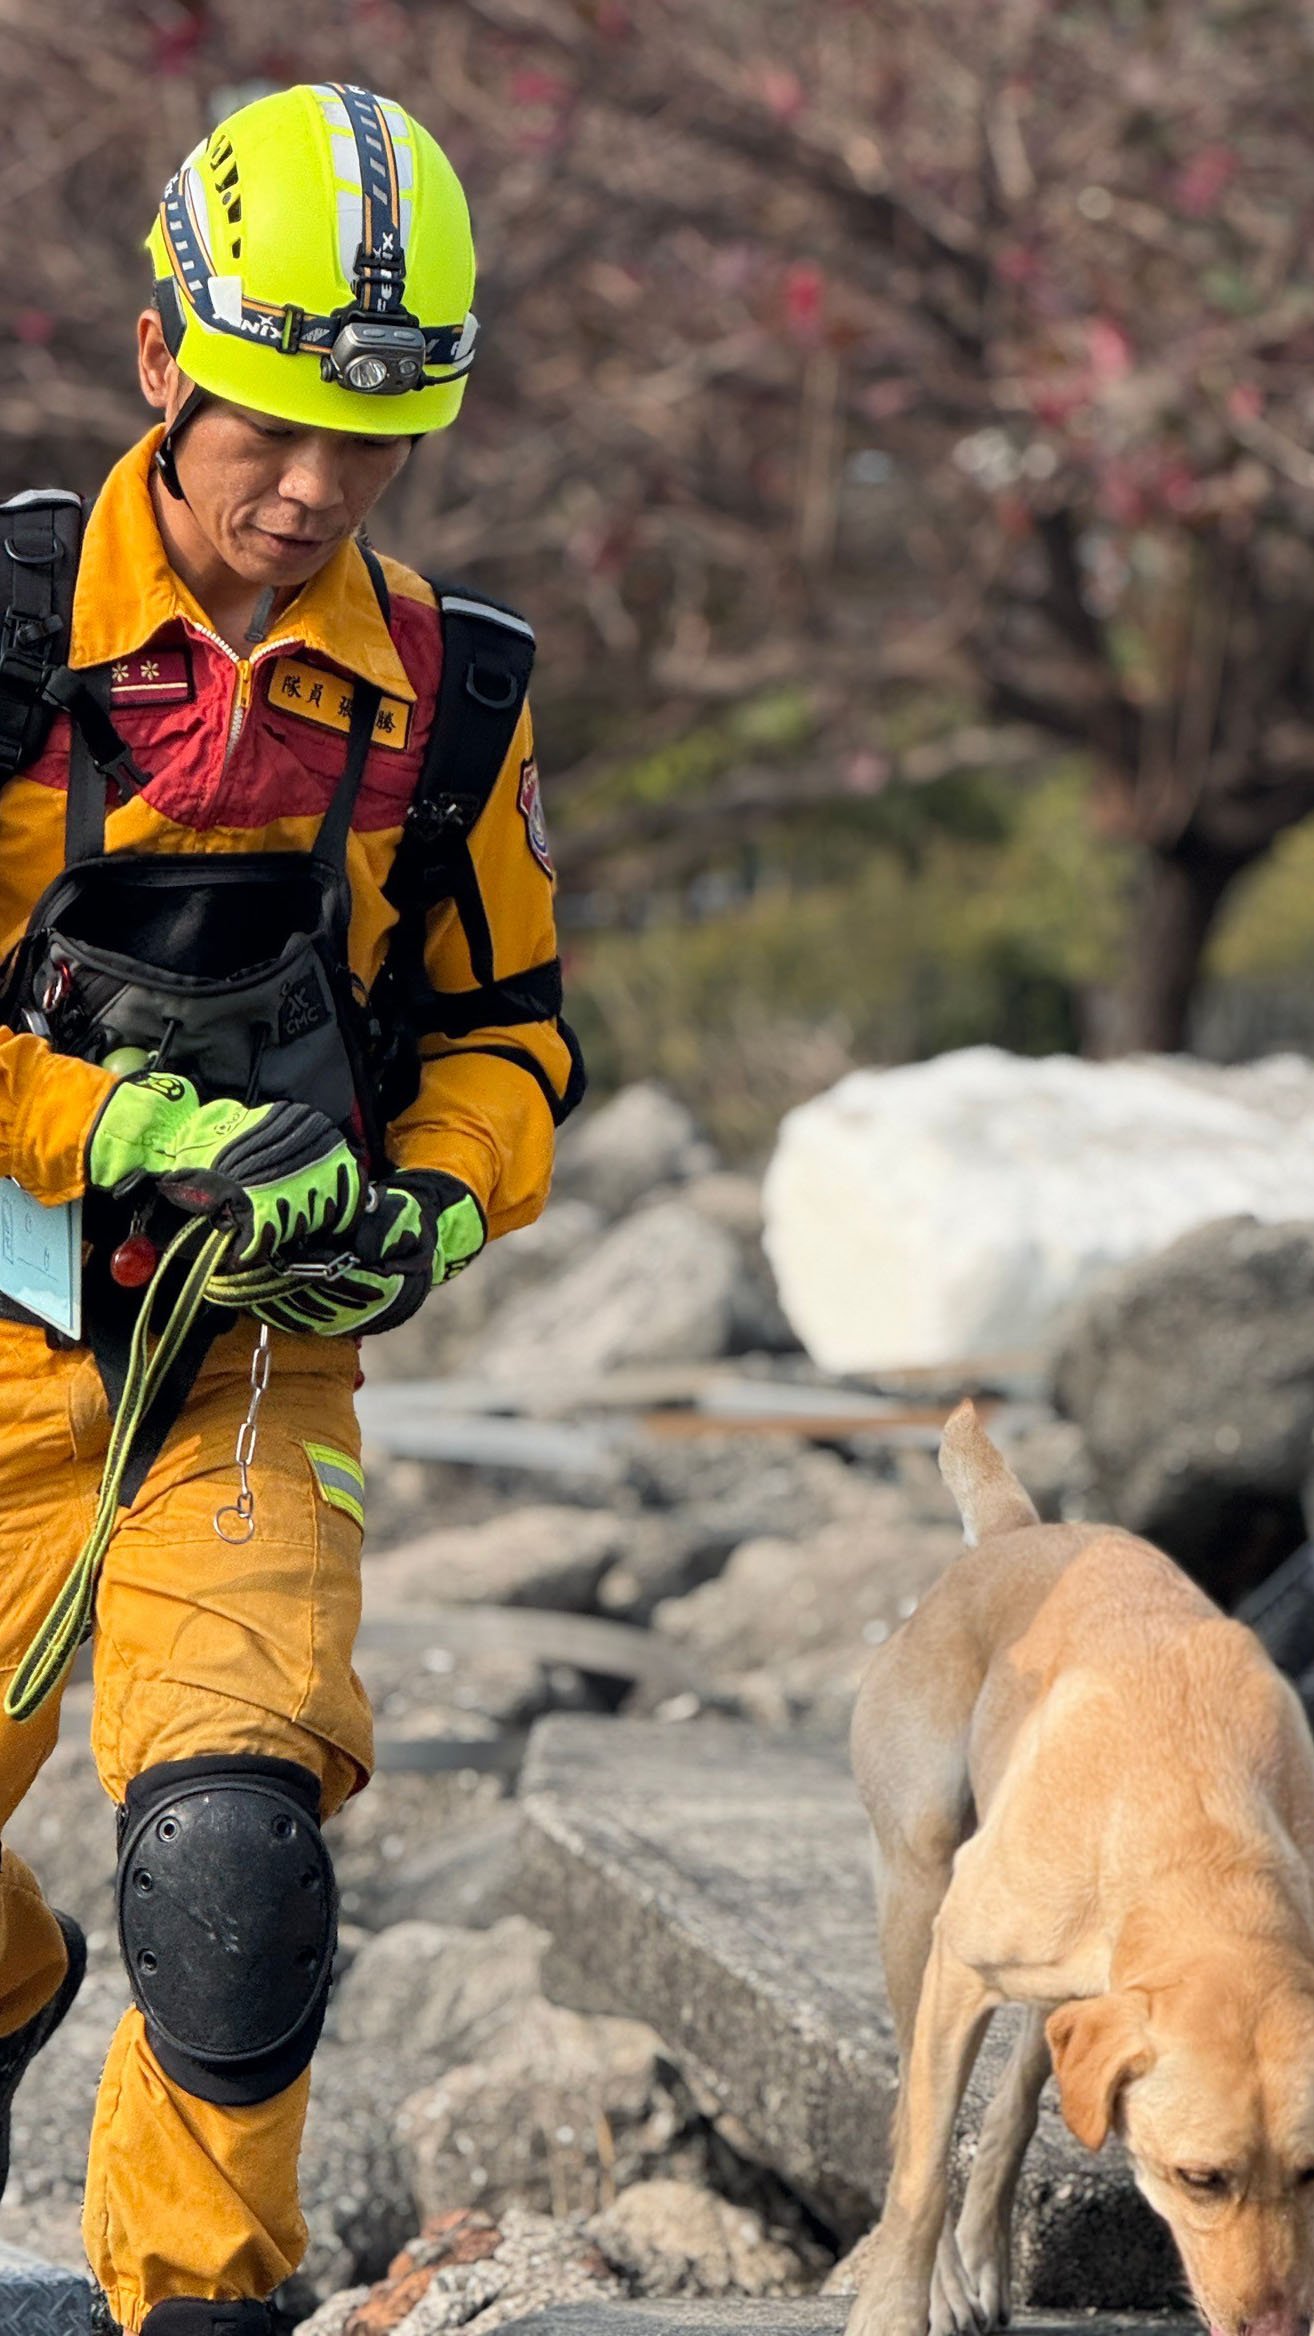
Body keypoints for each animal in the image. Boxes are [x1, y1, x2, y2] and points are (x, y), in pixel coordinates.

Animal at [841, 1392, 1309, 2336]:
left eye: (1313, 2173)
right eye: (1200, 2179)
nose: (1285, 2328)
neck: (1198, 1838)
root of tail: (1015, 1533)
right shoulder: (957, 1966)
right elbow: (920, 2165)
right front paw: (894, 2309)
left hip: (1067, 1999)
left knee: (1019, 2095)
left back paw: (984, 2255)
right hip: (917, 1890)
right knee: (911, 2106)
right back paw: (944, 2278)